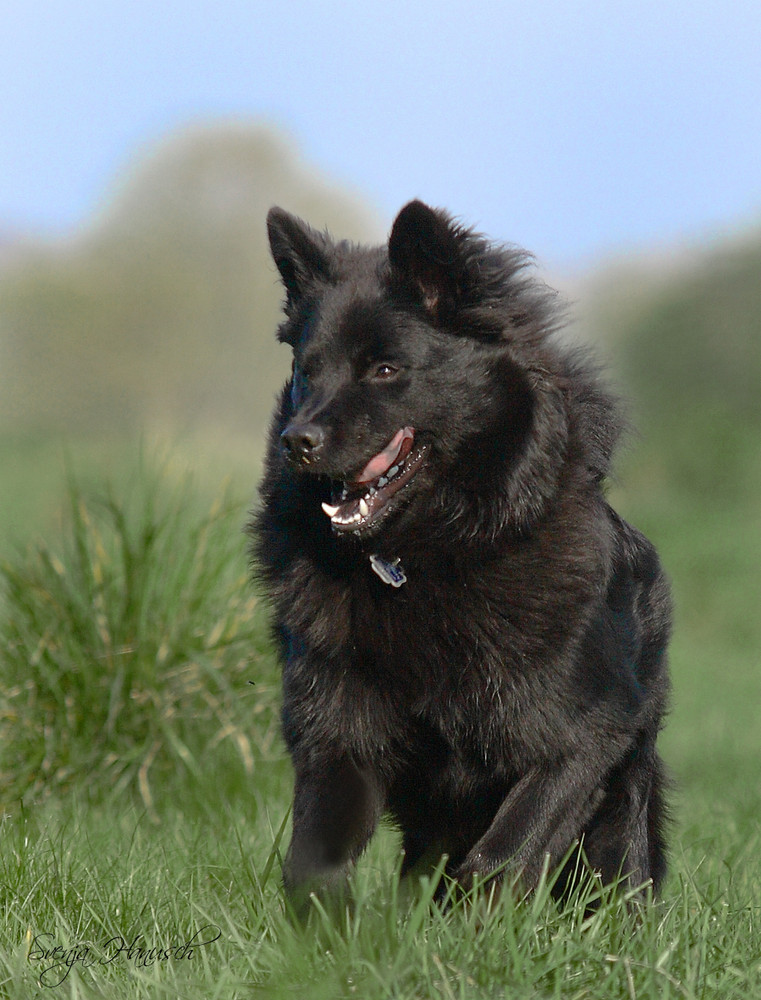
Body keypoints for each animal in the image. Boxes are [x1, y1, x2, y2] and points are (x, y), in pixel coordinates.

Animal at [252, 201, 668, 908]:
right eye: (308, 369)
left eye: (385, 370)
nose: (296, 442)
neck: (425, 556)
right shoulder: (338, 734)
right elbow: (315, 865)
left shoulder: (581, 740)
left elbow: (499, 858)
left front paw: (474, 931)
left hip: (620, 818)